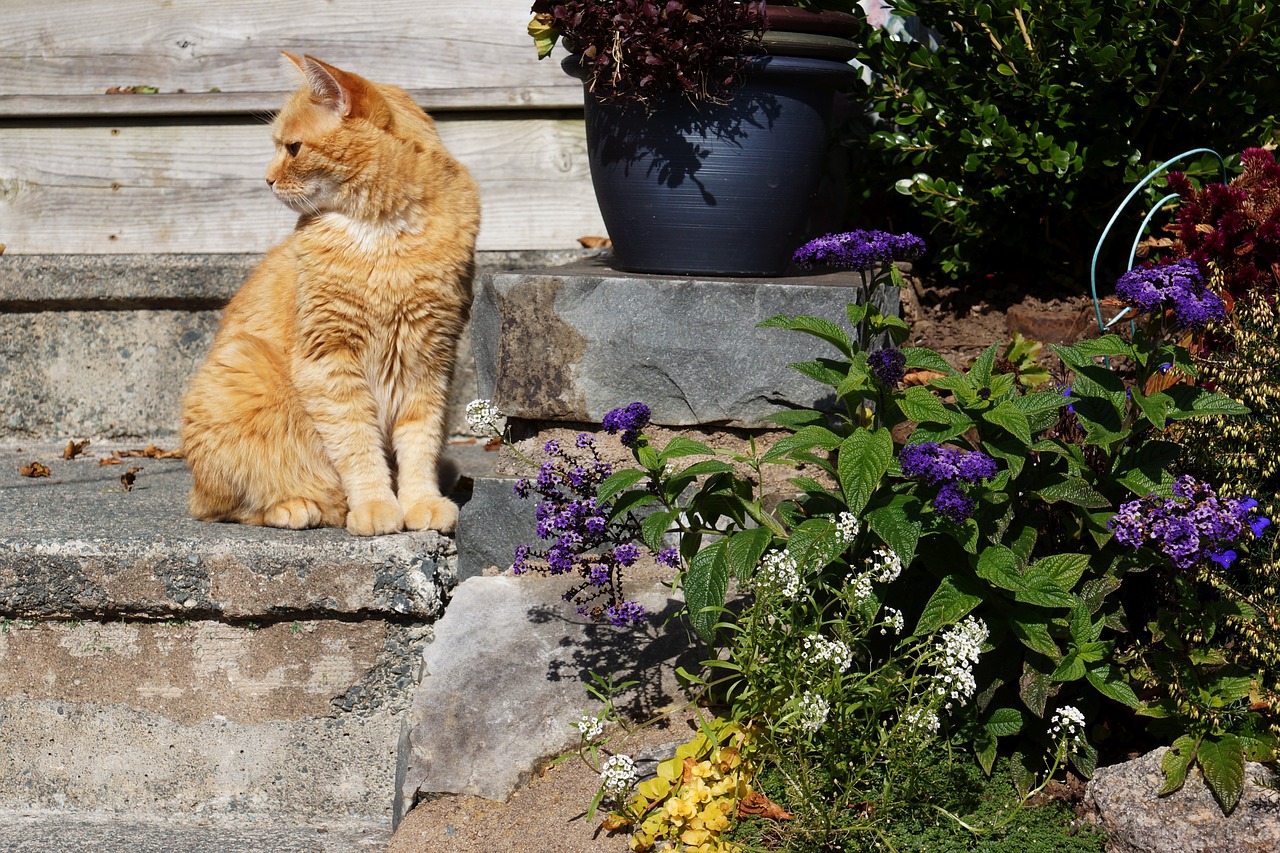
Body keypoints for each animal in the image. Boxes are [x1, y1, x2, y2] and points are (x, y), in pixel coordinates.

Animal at [180, 51, 481, 532]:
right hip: (241, 368)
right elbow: (357, 443)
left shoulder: (429, 358)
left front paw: (421, 501)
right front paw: (376, 504)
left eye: (292, 148)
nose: (266, 179)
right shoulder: (329, 357)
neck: (383, 233)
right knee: (227, 505)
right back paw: (298, 505)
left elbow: (420, 443)